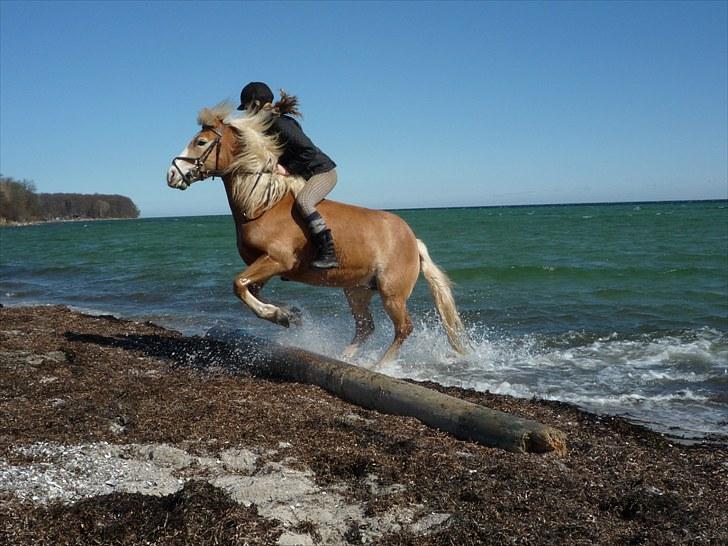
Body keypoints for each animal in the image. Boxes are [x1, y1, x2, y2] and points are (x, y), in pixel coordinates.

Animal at [166, 103, 466, 364]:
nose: (171, 175)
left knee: (403, 328)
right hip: (357, 289)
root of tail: (412, 240)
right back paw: (345, 358)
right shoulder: (264, 264)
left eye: (201, 142)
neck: (262, 203)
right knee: (365, 327)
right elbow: (250, 289)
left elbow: (239, 285)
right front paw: (290, 314)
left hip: (392, 293)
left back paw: (379, 367)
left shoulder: (277, 260)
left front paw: (280, 315)